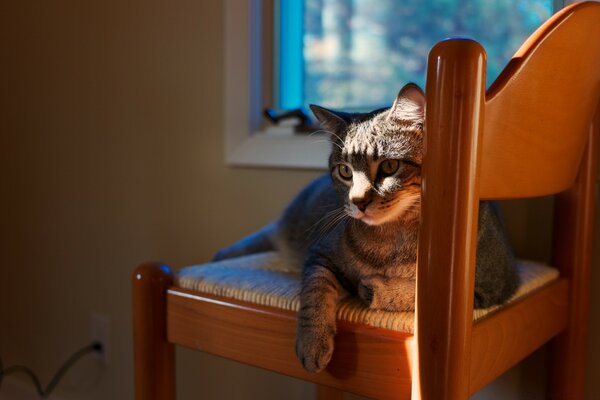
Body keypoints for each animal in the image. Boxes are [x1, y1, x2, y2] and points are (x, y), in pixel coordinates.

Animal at [213, 83, 516, 374]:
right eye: (345, 171)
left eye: (390, 166)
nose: (358, 201)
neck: (395, 241)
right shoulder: (320, 254)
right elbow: (314, 293)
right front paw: (312, 343)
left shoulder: (486, 289)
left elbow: (417, 295)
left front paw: (375, 289)